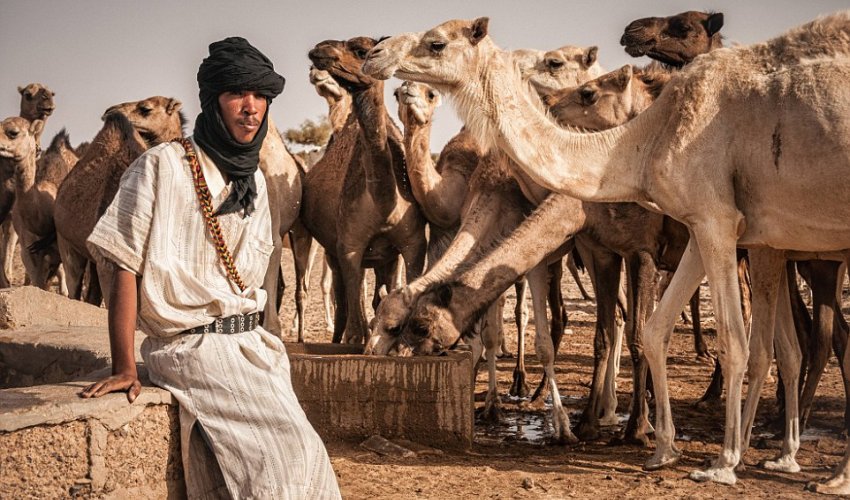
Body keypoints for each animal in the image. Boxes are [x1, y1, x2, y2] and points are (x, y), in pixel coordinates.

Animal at [302, 36, 428, 344]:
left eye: (360, 50)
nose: (318, 51)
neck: (384, 203)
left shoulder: (413, 245)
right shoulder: (348, 246)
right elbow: (356, 326)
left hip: (384, 258)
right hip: (334, 252)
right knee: (344, 301)